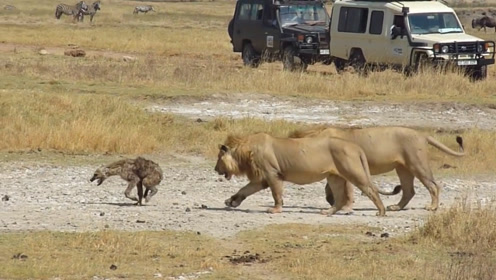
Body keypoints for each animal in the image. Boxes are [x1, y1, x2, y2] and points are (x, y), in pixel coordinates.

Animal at [215, 133, 390, 217]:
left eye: (218, 158)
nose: (215, 169)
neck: (244, 151)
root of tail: (355, 146)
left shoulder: (272, 174)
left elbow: (276, 194)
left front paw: (276, 210)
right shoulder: (262, 178)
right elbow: (244, 190)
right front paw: (231, 201)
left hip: (353, 172)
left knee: (371, 190)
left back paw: (381, 212)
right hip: (334, 176)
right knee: (340, 198)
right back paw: (327, 212)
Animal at [288, 126, 464, 211]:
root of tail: (422, 134)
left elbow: (346, 189)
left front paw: (346, 207)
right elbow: (329, 188)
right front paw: (333, 202)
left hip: (417, 164)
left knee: (433, 185)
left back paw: (432, 207)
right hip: (403, 168)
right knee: (409, 190)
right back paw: (396, 207)